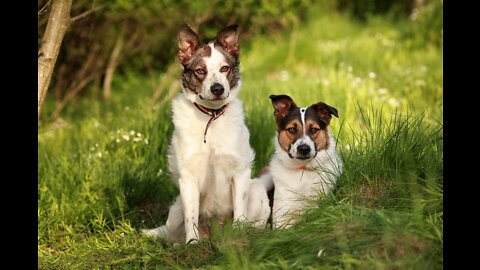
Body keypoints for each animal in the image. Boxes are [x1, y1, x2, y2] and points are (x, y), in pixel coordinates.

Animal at [142, 24, 270, 243]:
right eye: (200, 71)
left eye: (224, 68)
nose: (217, 88)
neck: (211, 117)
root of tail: (214, 233)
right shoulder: (188, 178)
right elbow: (191, 217)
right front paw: (192, 243)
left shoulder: (240, 172)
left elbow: (240, 208)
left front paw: (239, 232)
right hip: (175, 211)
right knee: (174, 232)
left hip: (256, 190)